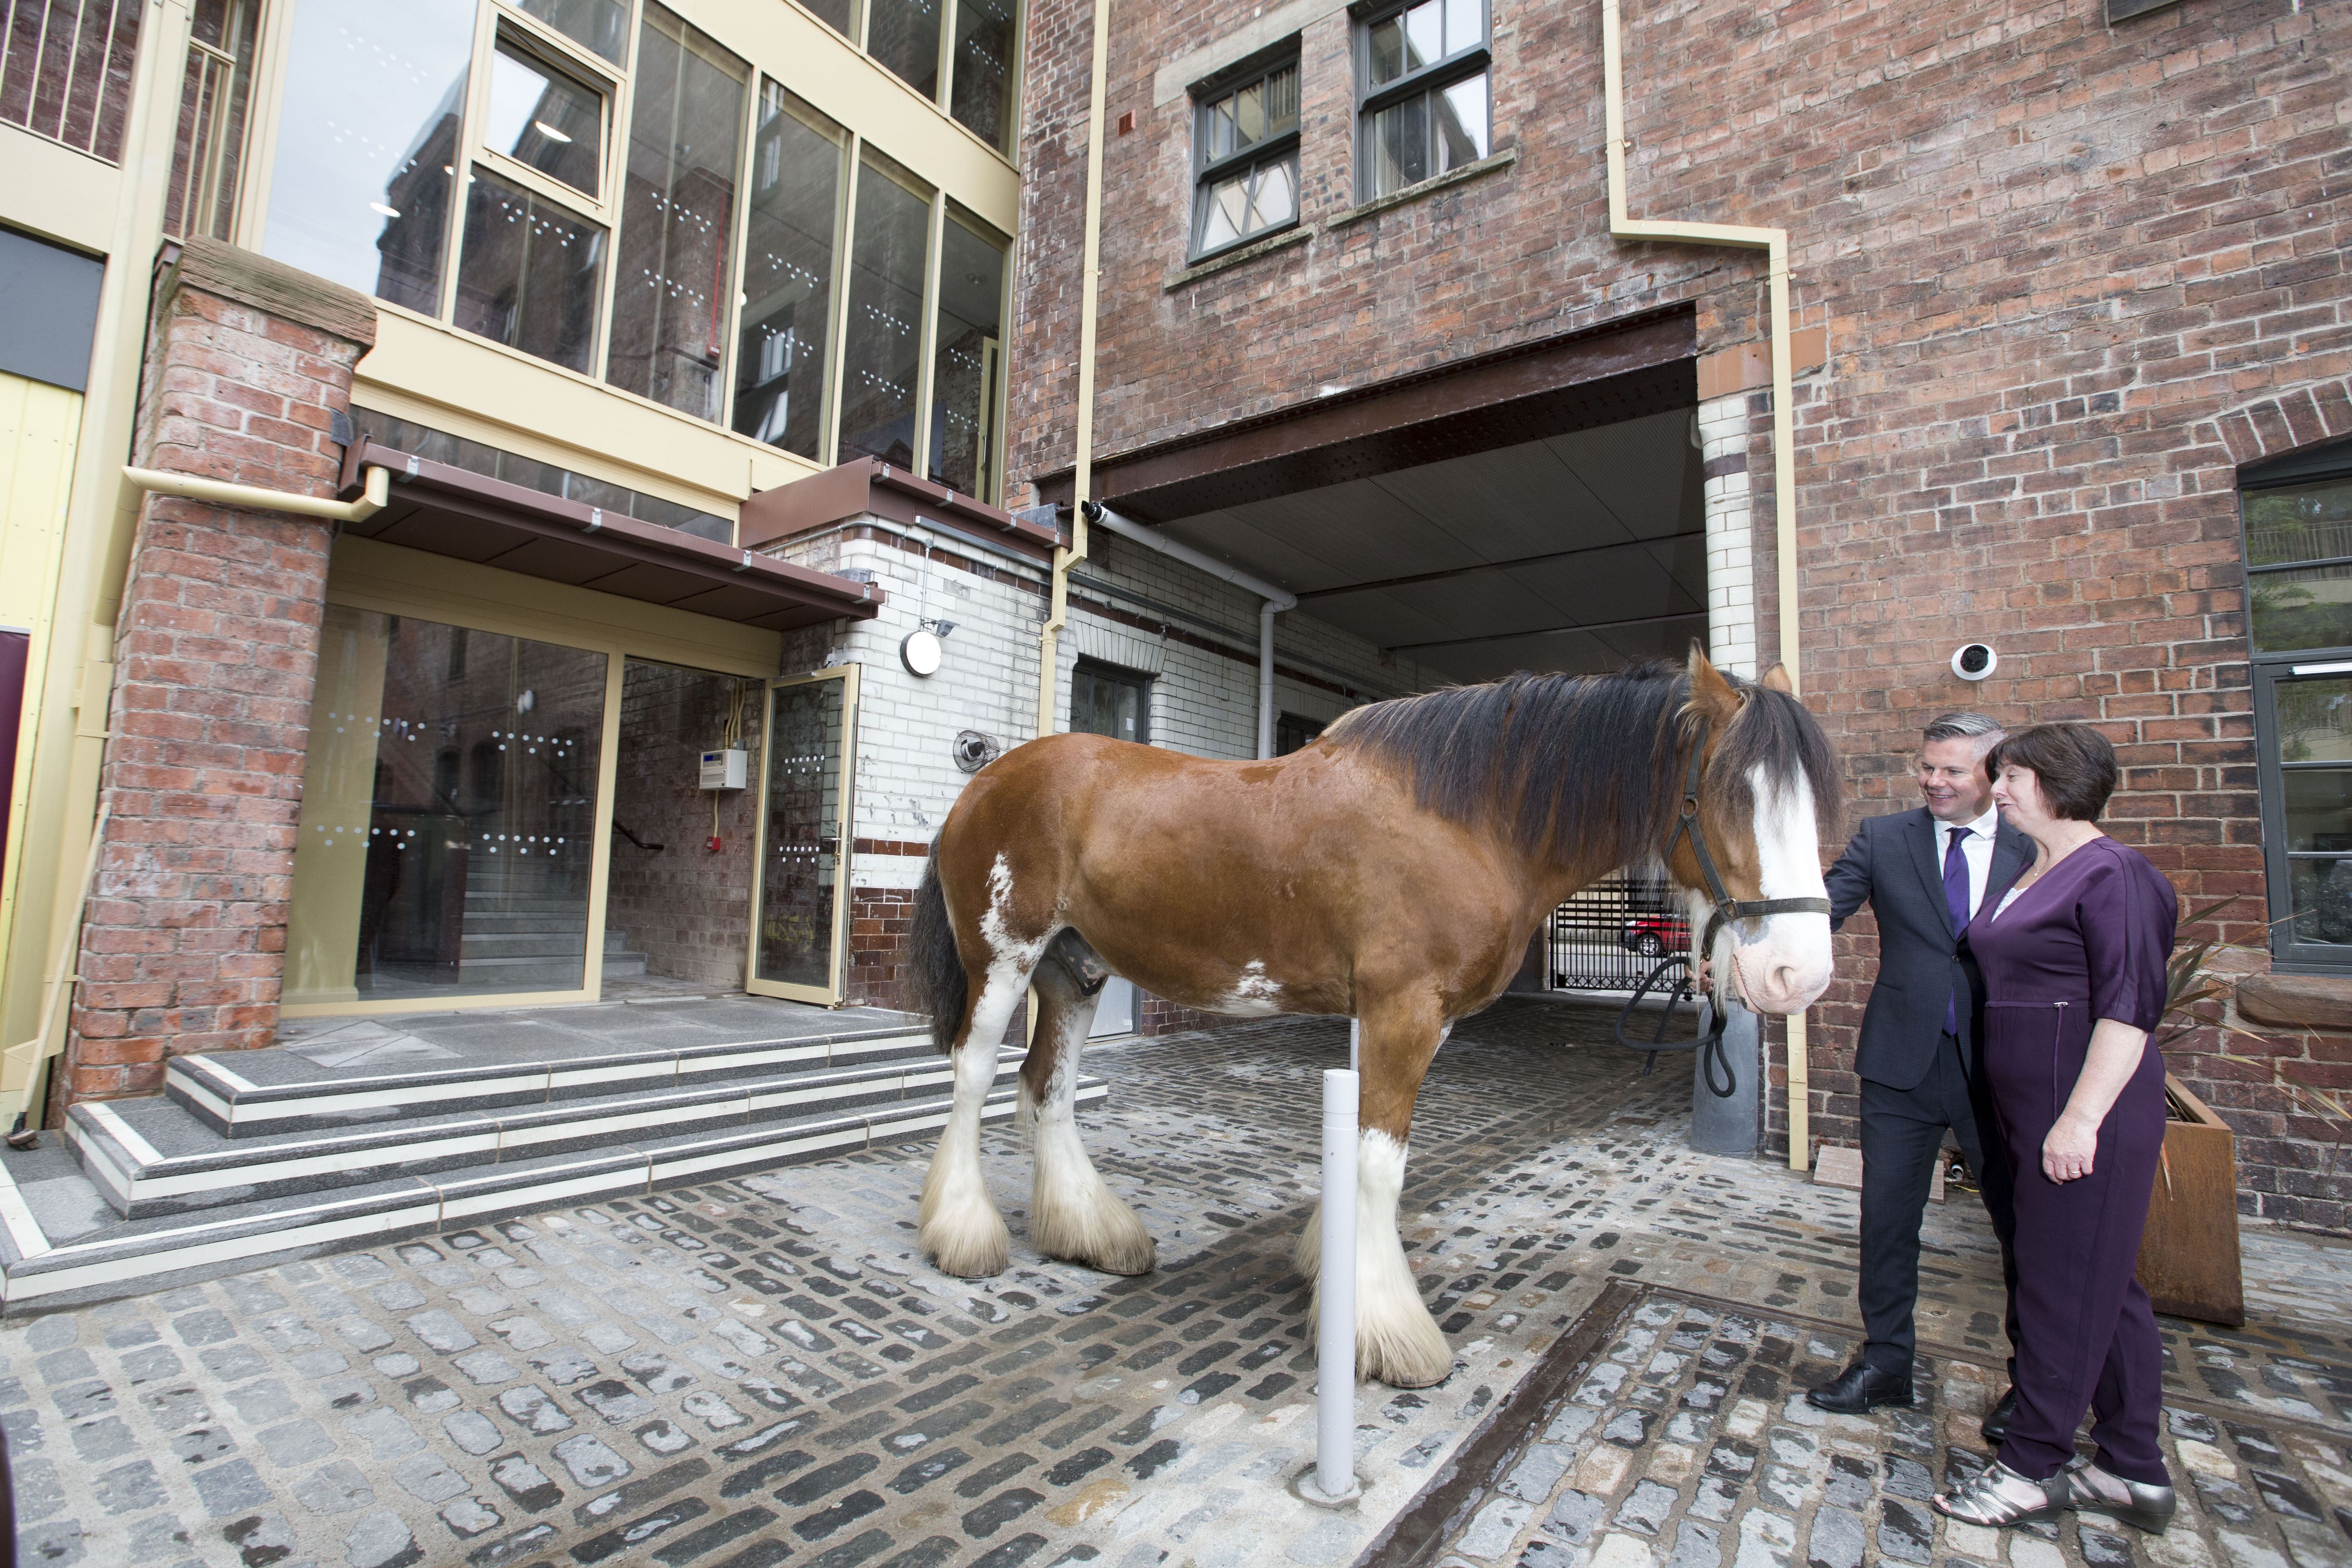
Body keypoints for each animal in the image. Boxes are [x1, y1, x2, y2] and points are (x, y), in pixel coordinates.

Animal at [908, 649, 1844, 1382]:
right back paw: (962, 1238)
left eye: (1812, 805)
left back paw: (1089, 1235)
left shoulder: (1390, 1015)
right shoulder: (1404, 1011)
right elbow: (1380, 1164)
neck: (1467, 818)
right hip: (1004, 961)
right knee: (971, 1076)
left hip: (1073, 972)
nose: (1797, 973)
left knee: (1046, 1087)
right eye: (1729, 795)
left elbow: (1358, 1152)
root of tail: (981, 782)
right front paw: (1389, 1335)